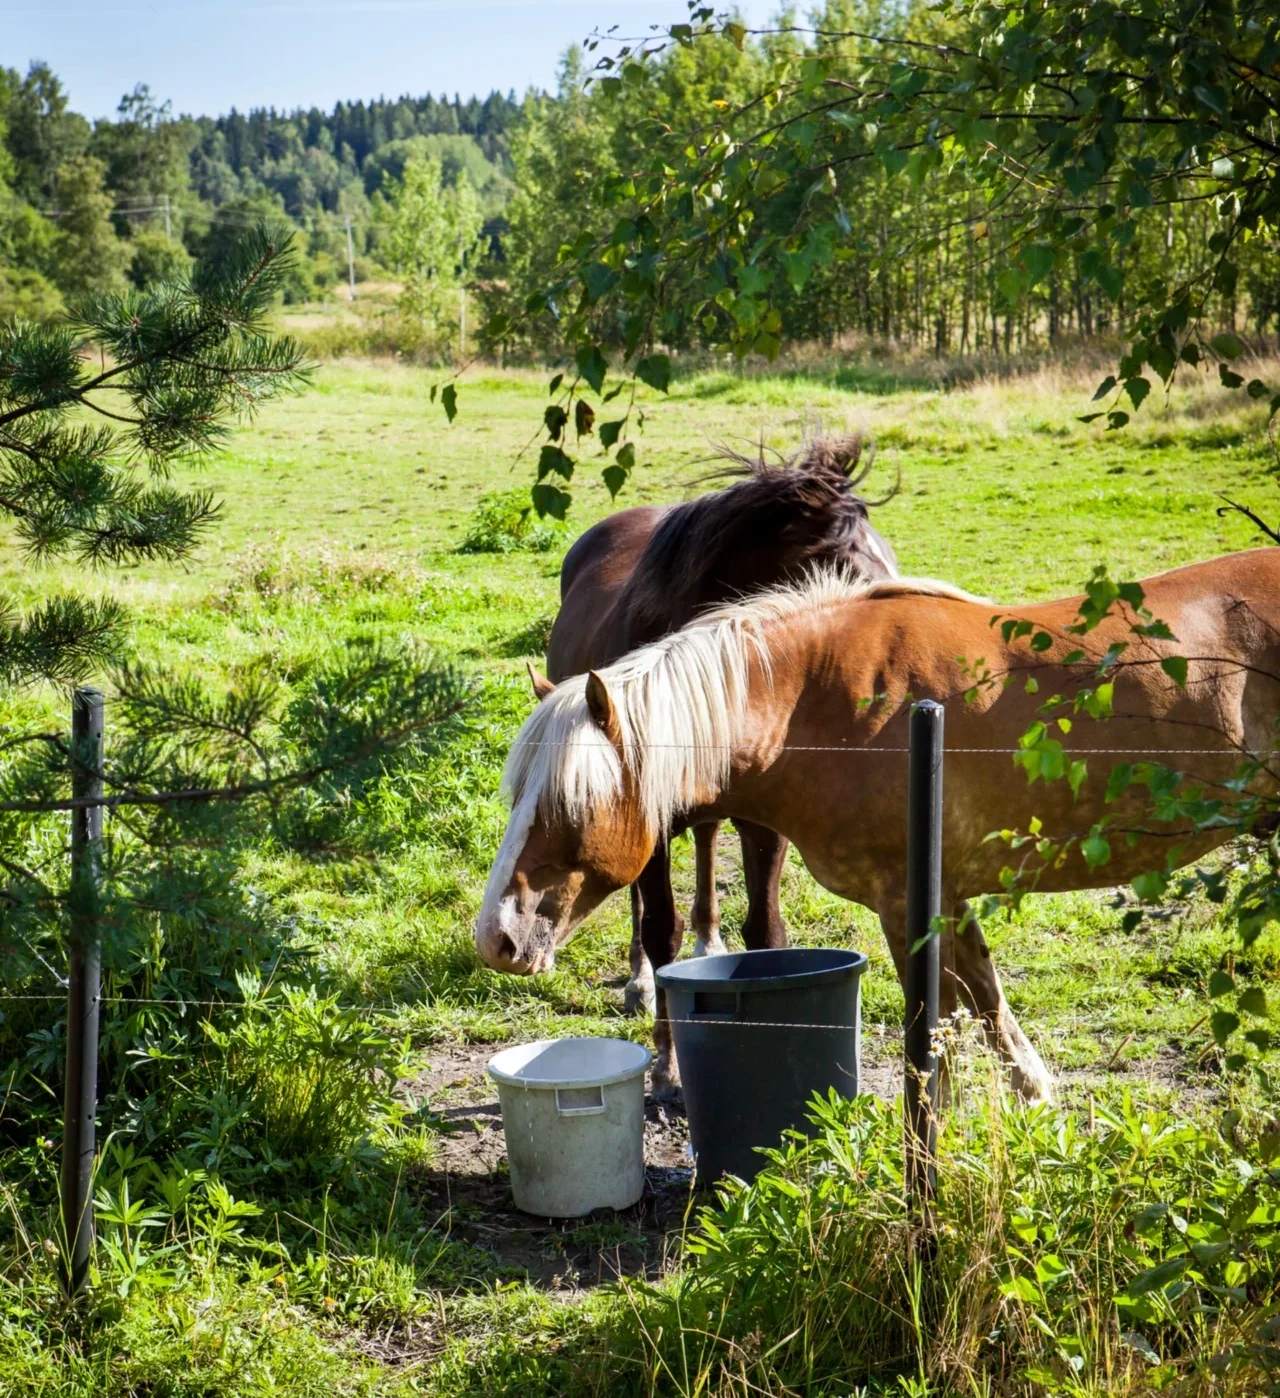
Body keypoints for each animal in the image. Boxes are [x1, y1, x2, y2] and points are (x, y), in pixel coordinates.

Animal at [477, 549, 1280, 1101]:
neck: (816, 704)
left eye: (566, 807)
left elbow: (940, 1038)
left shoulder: (905, 903)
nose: (496, 938)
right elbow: (987, 1004)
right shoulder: (946, 895)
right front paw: (1035, 1098)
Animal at [533, 434, 900, 1026]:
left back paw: (709, 940)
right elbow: (660, 929)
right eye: (845, 565)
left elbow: (766, 931)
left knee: (706, 841)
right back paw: (637, 978)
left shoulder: (765, 819)